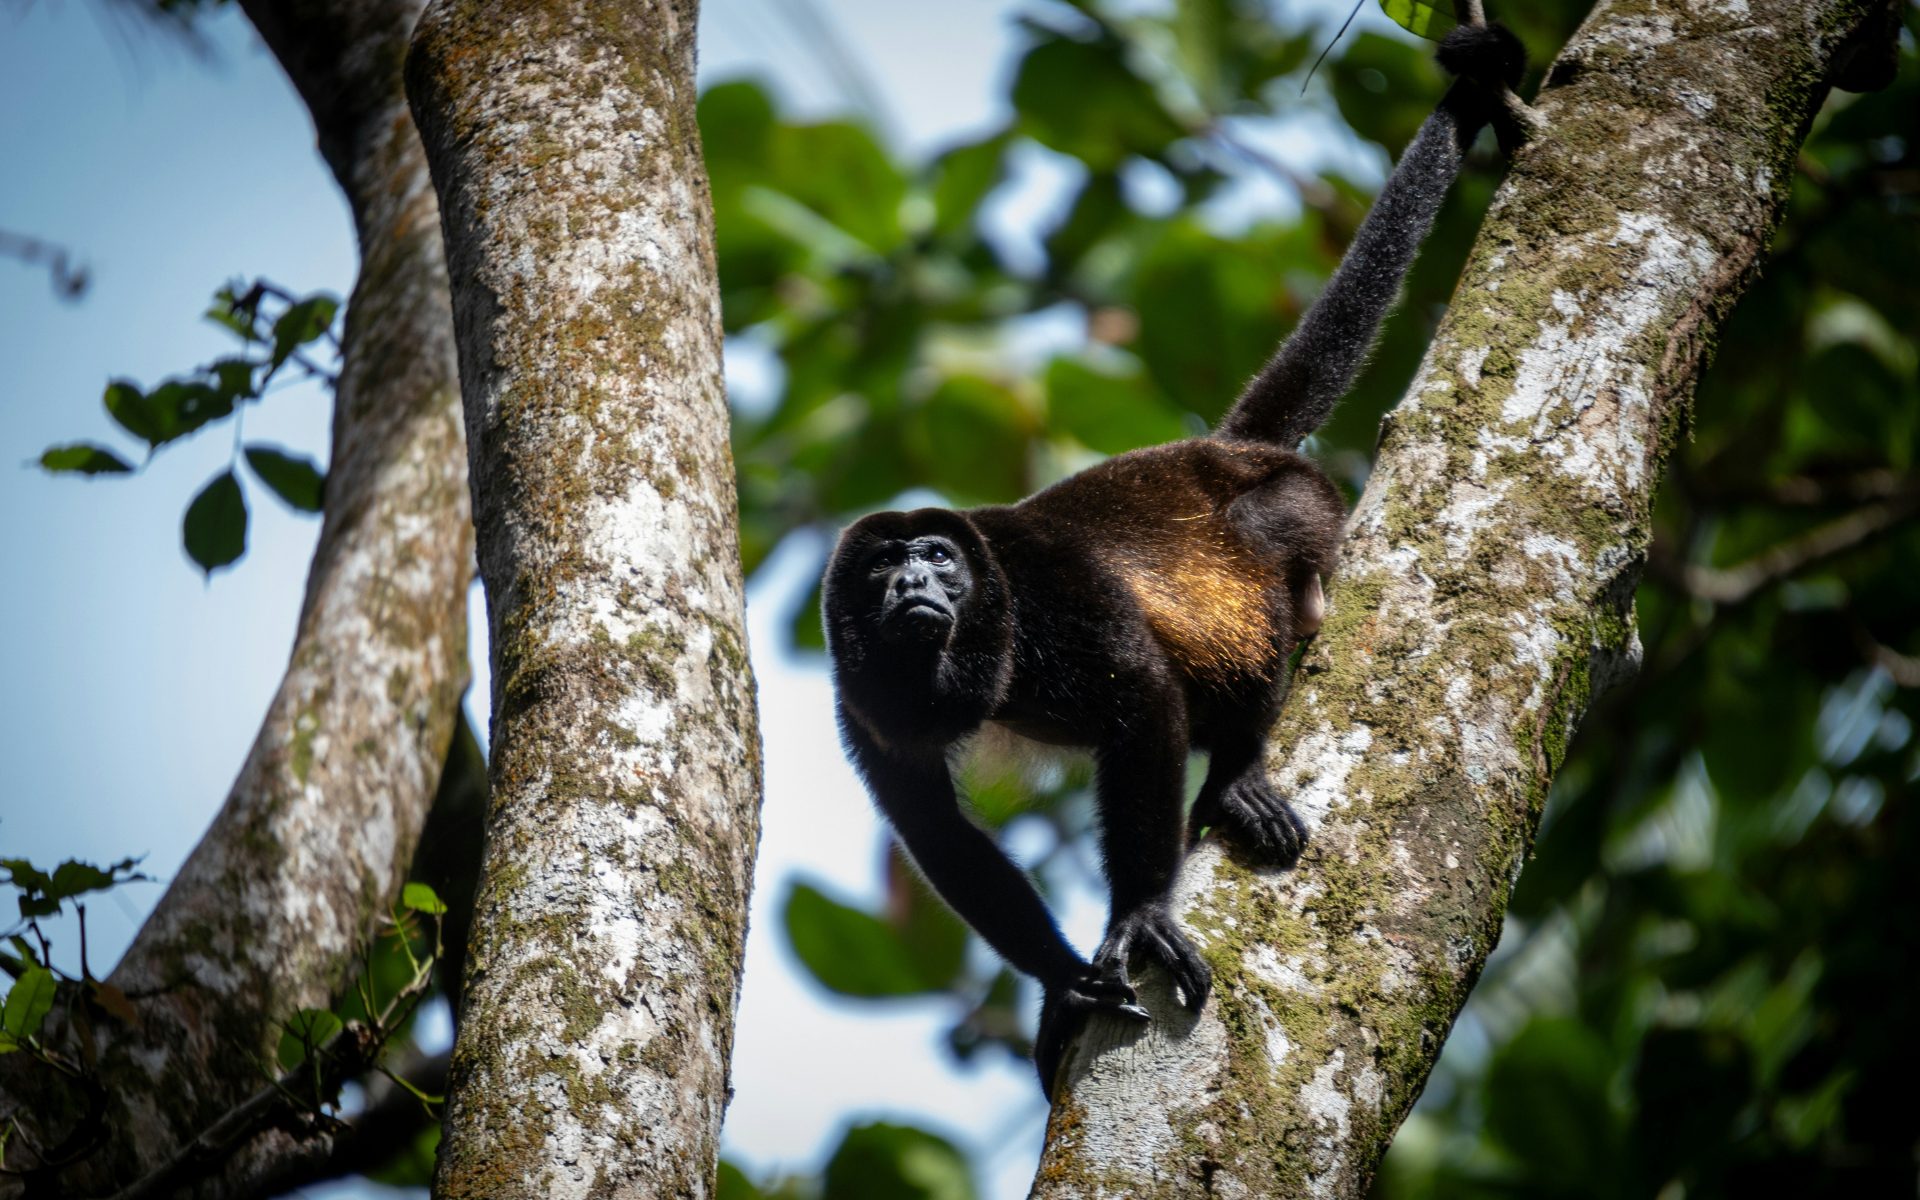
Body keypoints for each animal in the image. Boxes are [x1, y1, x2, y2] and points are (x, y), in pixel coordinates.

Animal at [821, 23, 1528, 1098]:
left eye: (939, 556)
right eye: (882, 568)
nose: (913, 584)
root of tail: (1223, 445)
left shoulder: (1047, 591)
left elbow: (1143, 697)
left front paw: (1142, 914)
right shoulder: (858, 701)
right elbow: (939, 832)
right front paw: (1065, 984)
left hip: (1294, 500)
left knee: (1263, 567)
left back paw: (1236, 768)